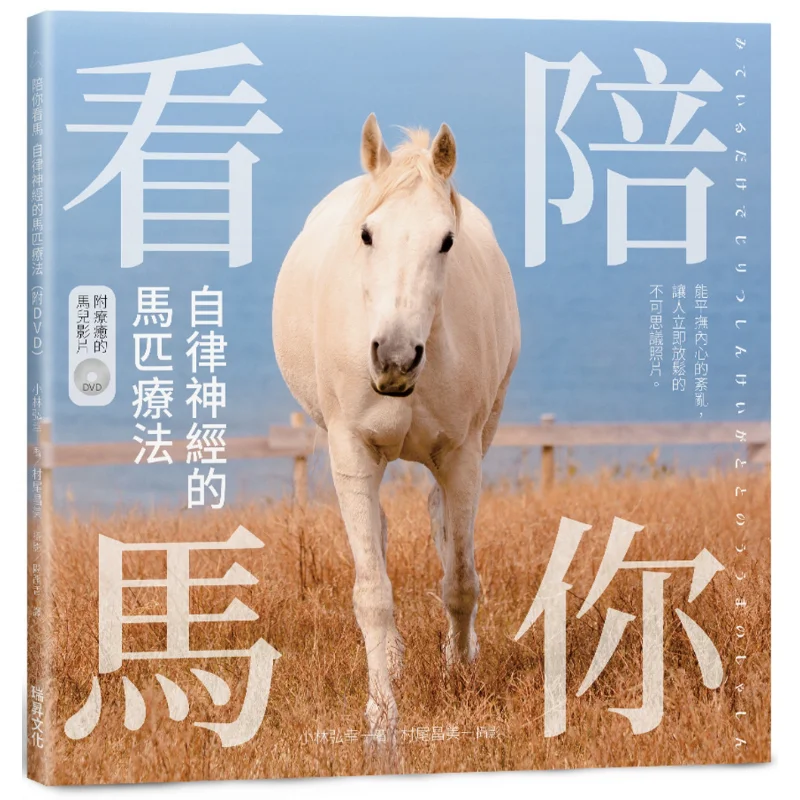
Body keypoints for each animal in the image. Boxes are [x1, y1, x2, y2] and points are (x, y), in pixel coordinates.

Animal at [272, 113, 520, 736]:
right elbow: (373, 593)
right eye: (367, 235)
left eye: (447, 240)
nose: (395, 358)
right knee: (380, 537)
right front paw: (382, 714)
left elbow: (460, 579)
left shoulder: (462, 455)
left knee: (441, 524)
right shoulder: (351, 451)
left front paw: (461, 672)